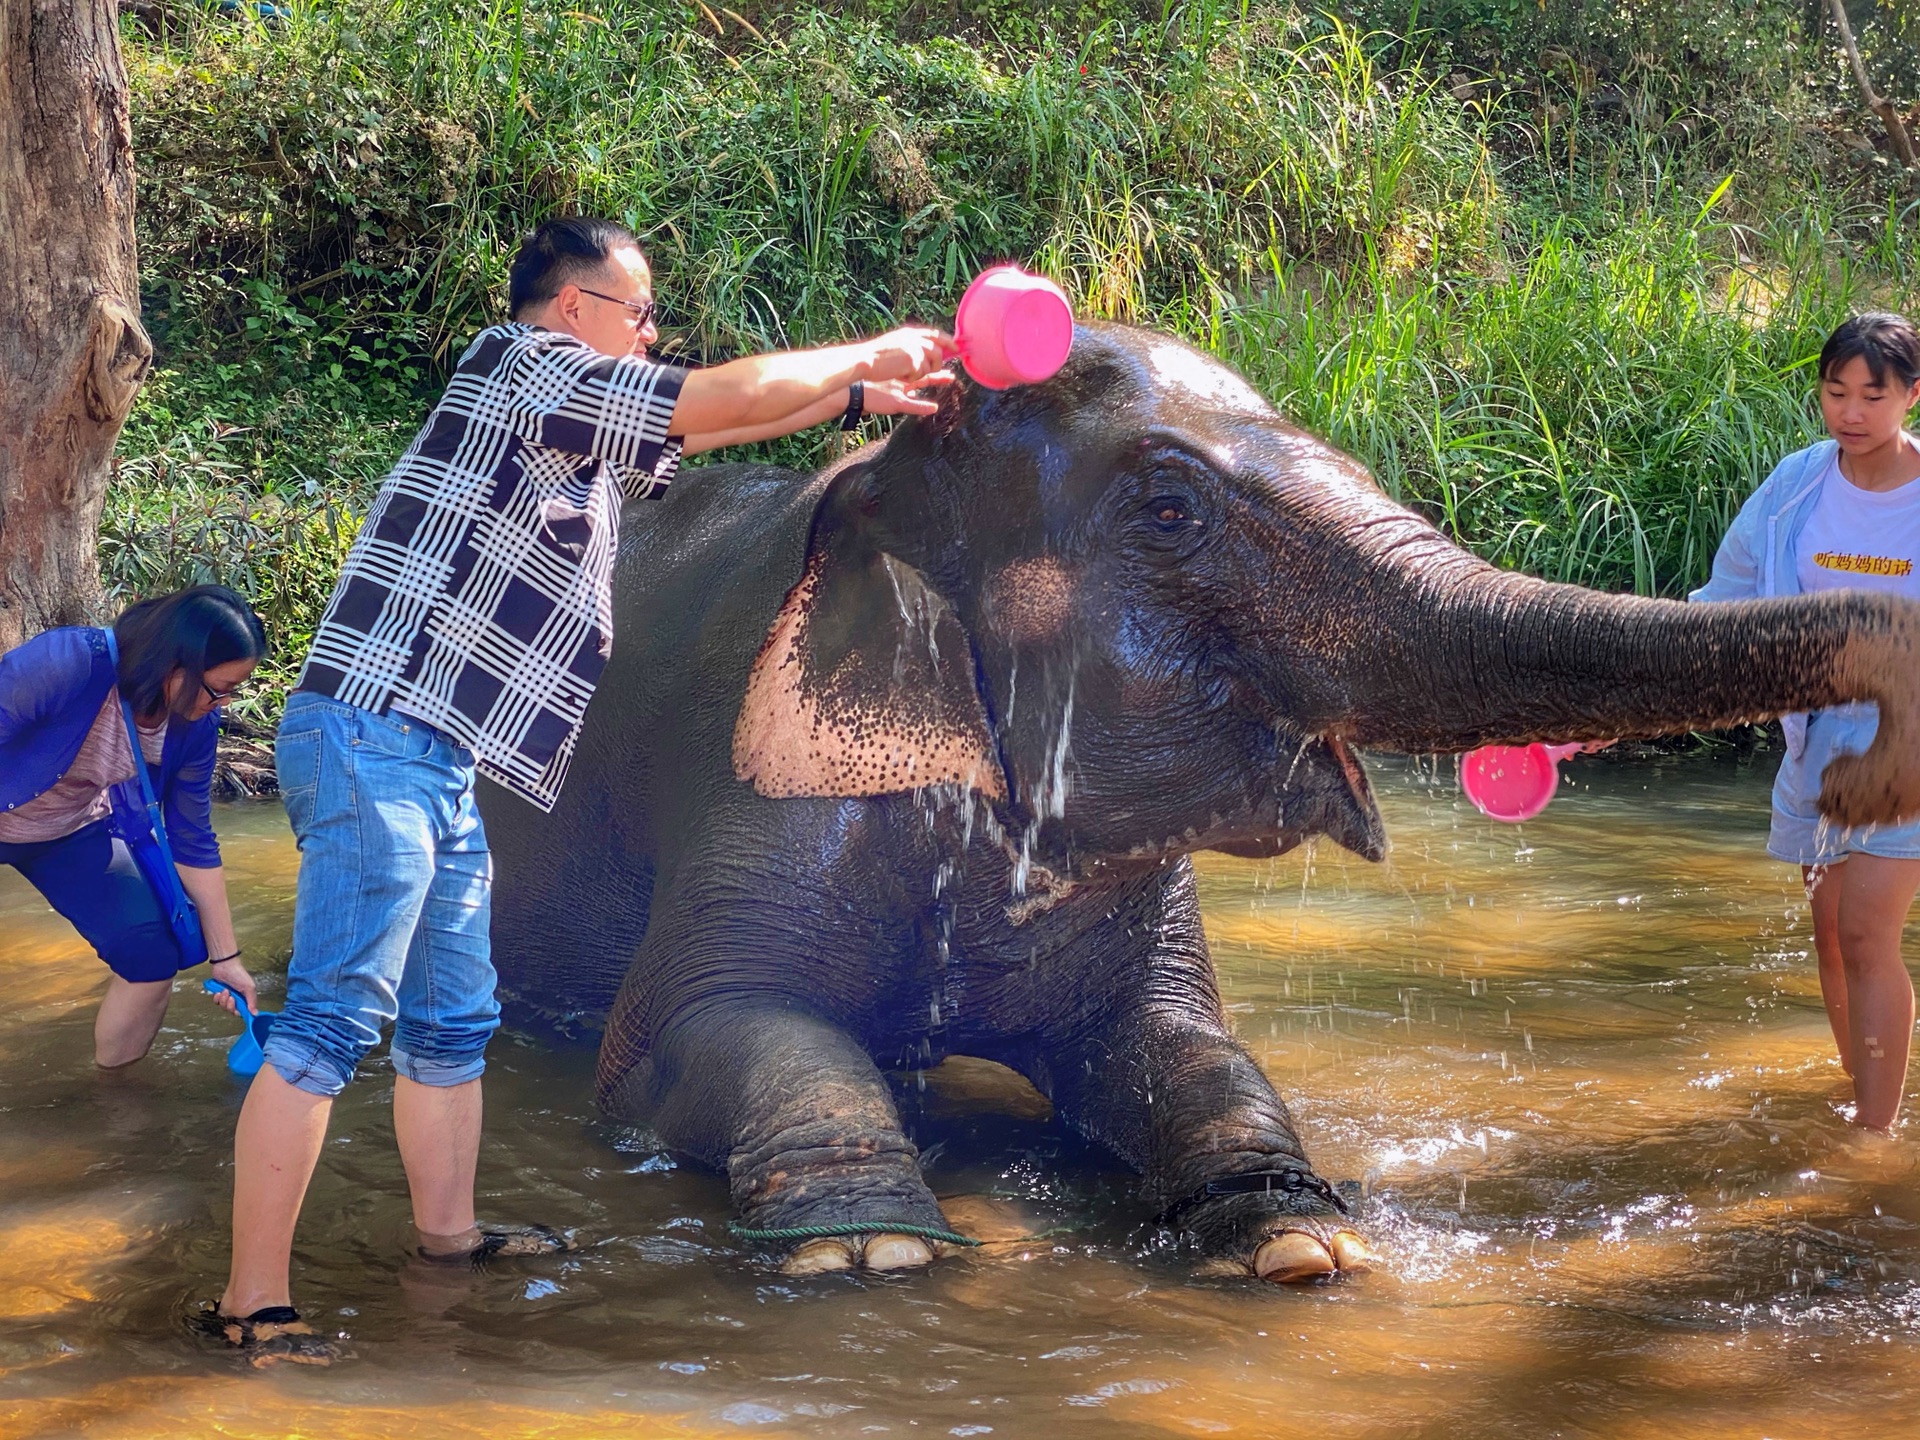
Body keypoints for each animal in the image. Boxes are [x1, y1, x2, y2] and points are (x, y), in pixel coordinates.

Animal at [487, 324, 1920, 1282]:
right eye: (1171, 509)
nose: (1863, 763)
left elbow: (1173, 1042)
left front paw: (1293, 1239)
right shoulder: (754, 786)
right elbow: (692, 1034)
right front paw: (869, 1250)